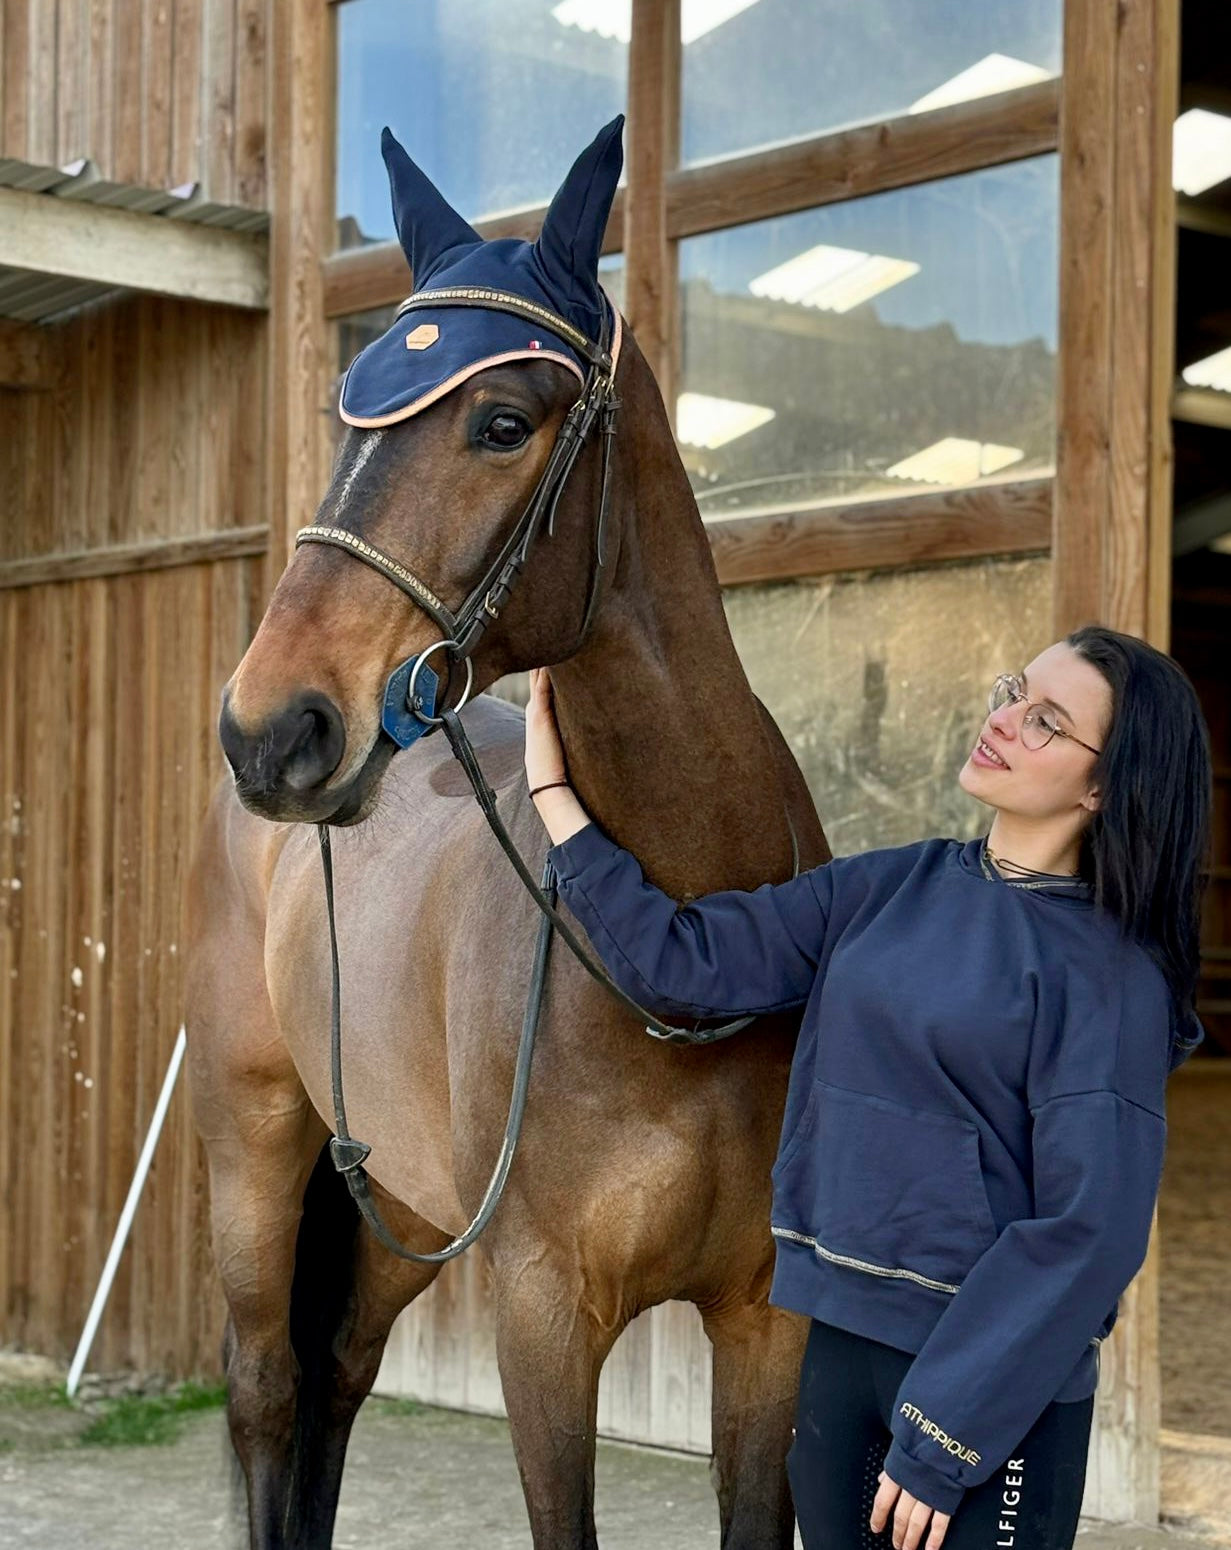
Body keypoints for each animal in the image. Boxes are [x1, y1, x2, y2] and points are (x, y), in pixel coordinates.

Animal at [184, 120, 824, 1550]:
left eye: (502, 422)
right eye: (345, 421)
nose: (270, 727)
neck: (687, 938)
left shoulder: (764, 1321)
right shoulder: (542, 1318)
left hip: (396, 1199)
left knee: (336, 1380)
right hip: (255, 1150)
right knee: (265, 1395)